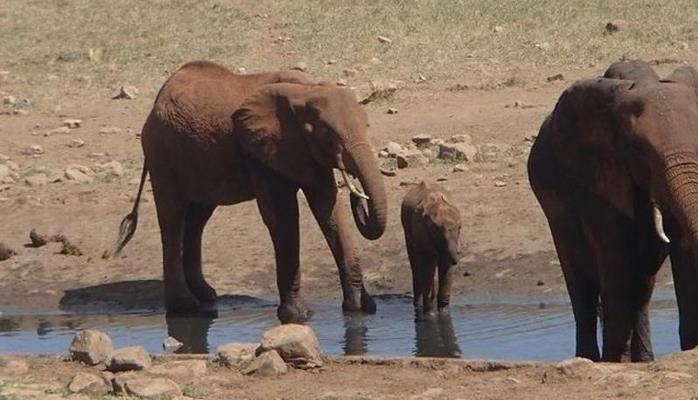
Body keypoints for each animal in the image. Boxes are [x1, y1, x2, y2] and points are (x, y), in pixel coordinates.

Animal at [111, 61, 388, 324]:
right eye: (327, 134)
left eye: (367, 125)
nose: (358, 198)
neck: (306, 91)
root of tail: (156, 102)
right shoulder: (260, 151)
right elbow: (282, 218)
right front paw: (299, 316)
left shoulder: (305, 152)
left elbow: (329, 211)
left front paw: (360, 310)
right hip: (161, 154)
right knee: (172, 218)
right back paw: (185, 307)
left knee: (197, 219)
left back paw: (207, 295)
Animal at [400, 181, 460, 312]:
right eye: (436, 230)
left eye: (459, 229)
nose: (456, 261)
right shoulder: (420, 227)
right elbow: (428, 261)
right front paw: (430, 313)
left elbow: (445, 264)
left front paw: (444, 311)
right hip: (407, 228)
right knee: (416, 263)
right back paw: (418, 305)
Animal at [524, 60, 696, 362]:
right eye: (639, 150)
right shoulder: (599, 177)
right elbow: (614, 258)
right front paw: (616, 362)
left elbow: (683, 249)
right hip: (552, 201)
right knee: (583, 286)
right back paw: (592, 359)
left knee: (642, 287)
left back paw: (643, 360)